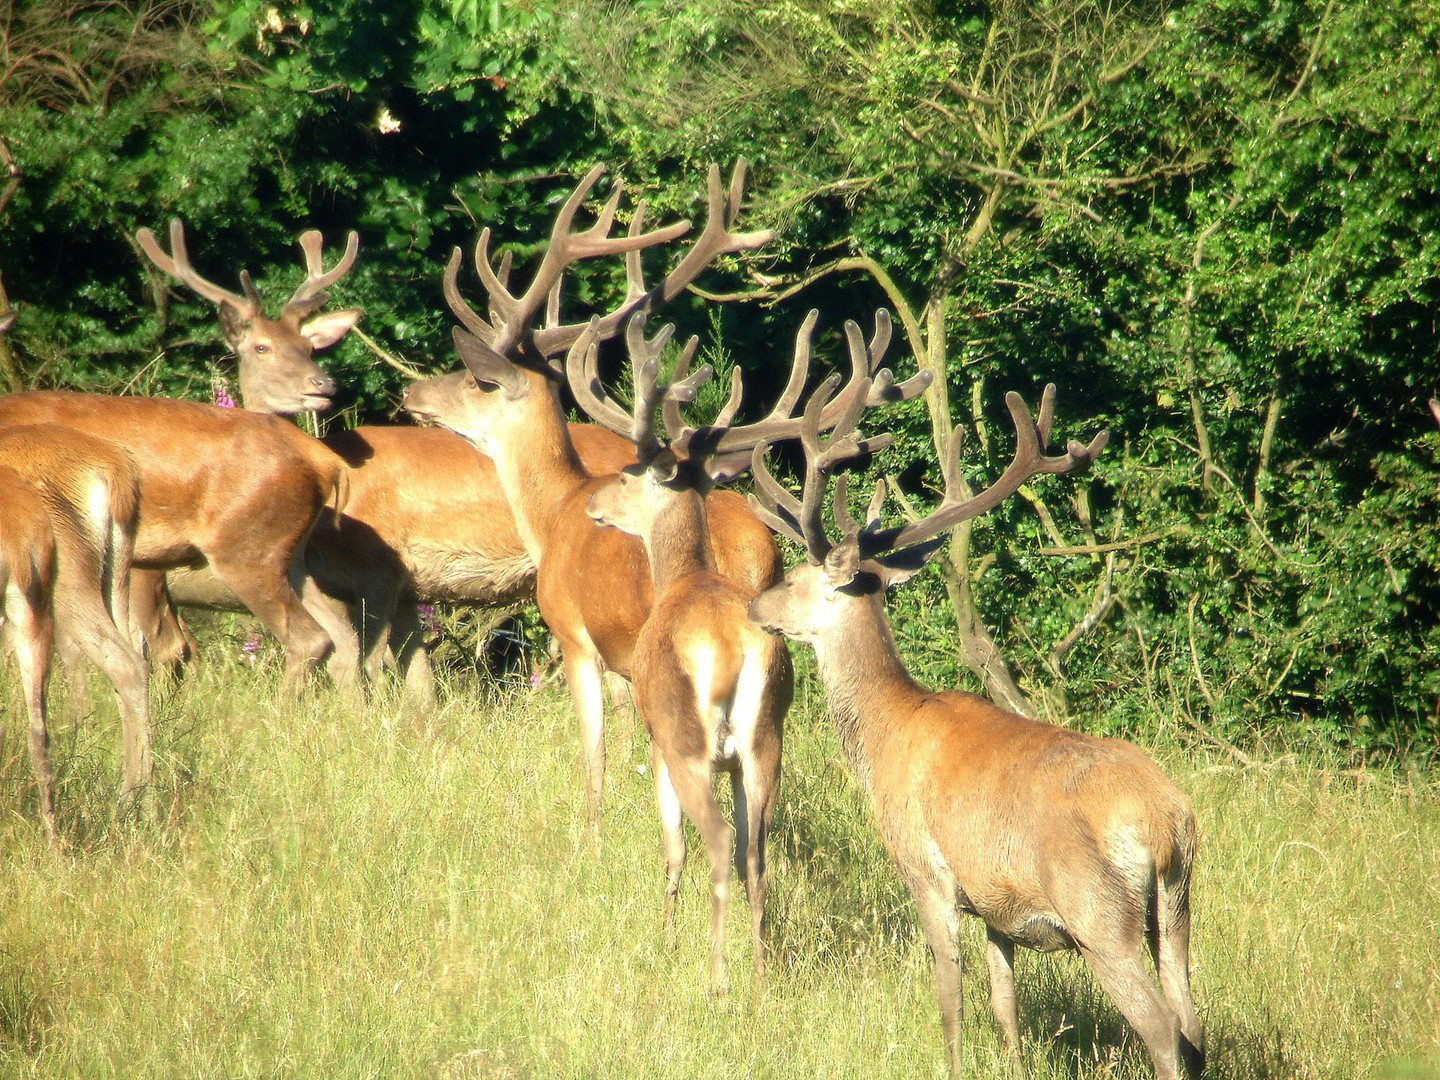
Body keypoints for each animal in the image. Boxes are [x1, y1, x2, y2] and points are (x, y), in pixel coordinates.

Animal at [400, 162, 789, 829]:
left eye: (476, 379)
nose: (411, 393)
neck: (554, 512)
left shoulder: (578, 639)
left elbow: (595, 751)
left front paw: (594, 829)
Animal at [743, 388, 1203, 1080]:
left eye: (795, 579)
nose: (753, 605)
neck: (883, 733)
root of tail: (1163, 820)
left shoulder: (925, 869)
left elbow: (950, 993)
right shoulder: (996, 905)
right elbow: (1004, 1003)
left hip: (1100, 913)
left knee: (1164, 1031)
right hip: (1175, 909)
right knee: (1195, 1025)